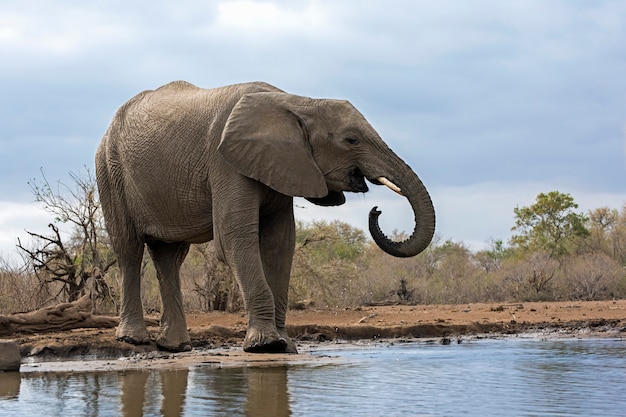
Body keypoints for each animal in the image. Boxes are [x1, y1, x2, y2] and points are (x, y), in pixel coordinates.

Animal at [95, 80, 432, 352]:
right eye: (351, 140)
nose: (376, 210)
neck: (299, 102)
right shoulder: (226, 162)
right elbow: (235, 239)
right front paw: (267, 345)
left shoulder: (284, 166)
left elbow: (280, 244)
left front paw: (286, 346)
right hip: (109, 168)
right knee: (128, 248)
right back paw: (133, 340)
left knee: (170, 256)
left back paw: (176, 347)